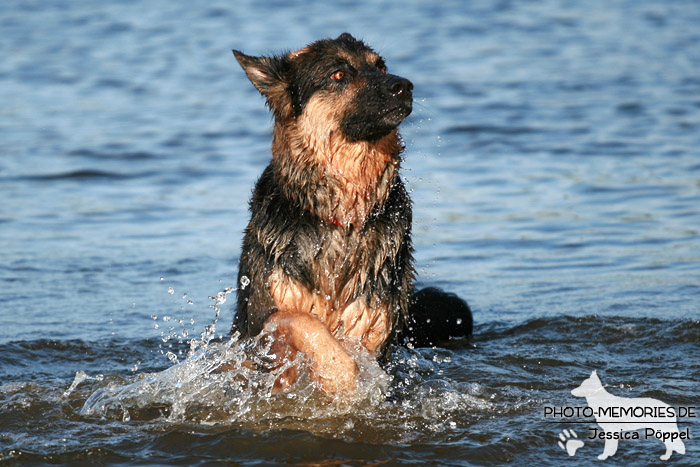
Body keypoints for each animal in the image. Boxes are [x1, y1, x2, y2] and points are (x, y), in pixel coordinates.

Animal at [232, 33, 474, 394]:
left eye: (381, 66)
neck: (343, 217)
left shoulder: (372, 321)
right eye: (338, 75)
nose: (404, 86)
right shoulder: (267, 323)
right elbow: (303, 322)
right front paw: (338, 374)